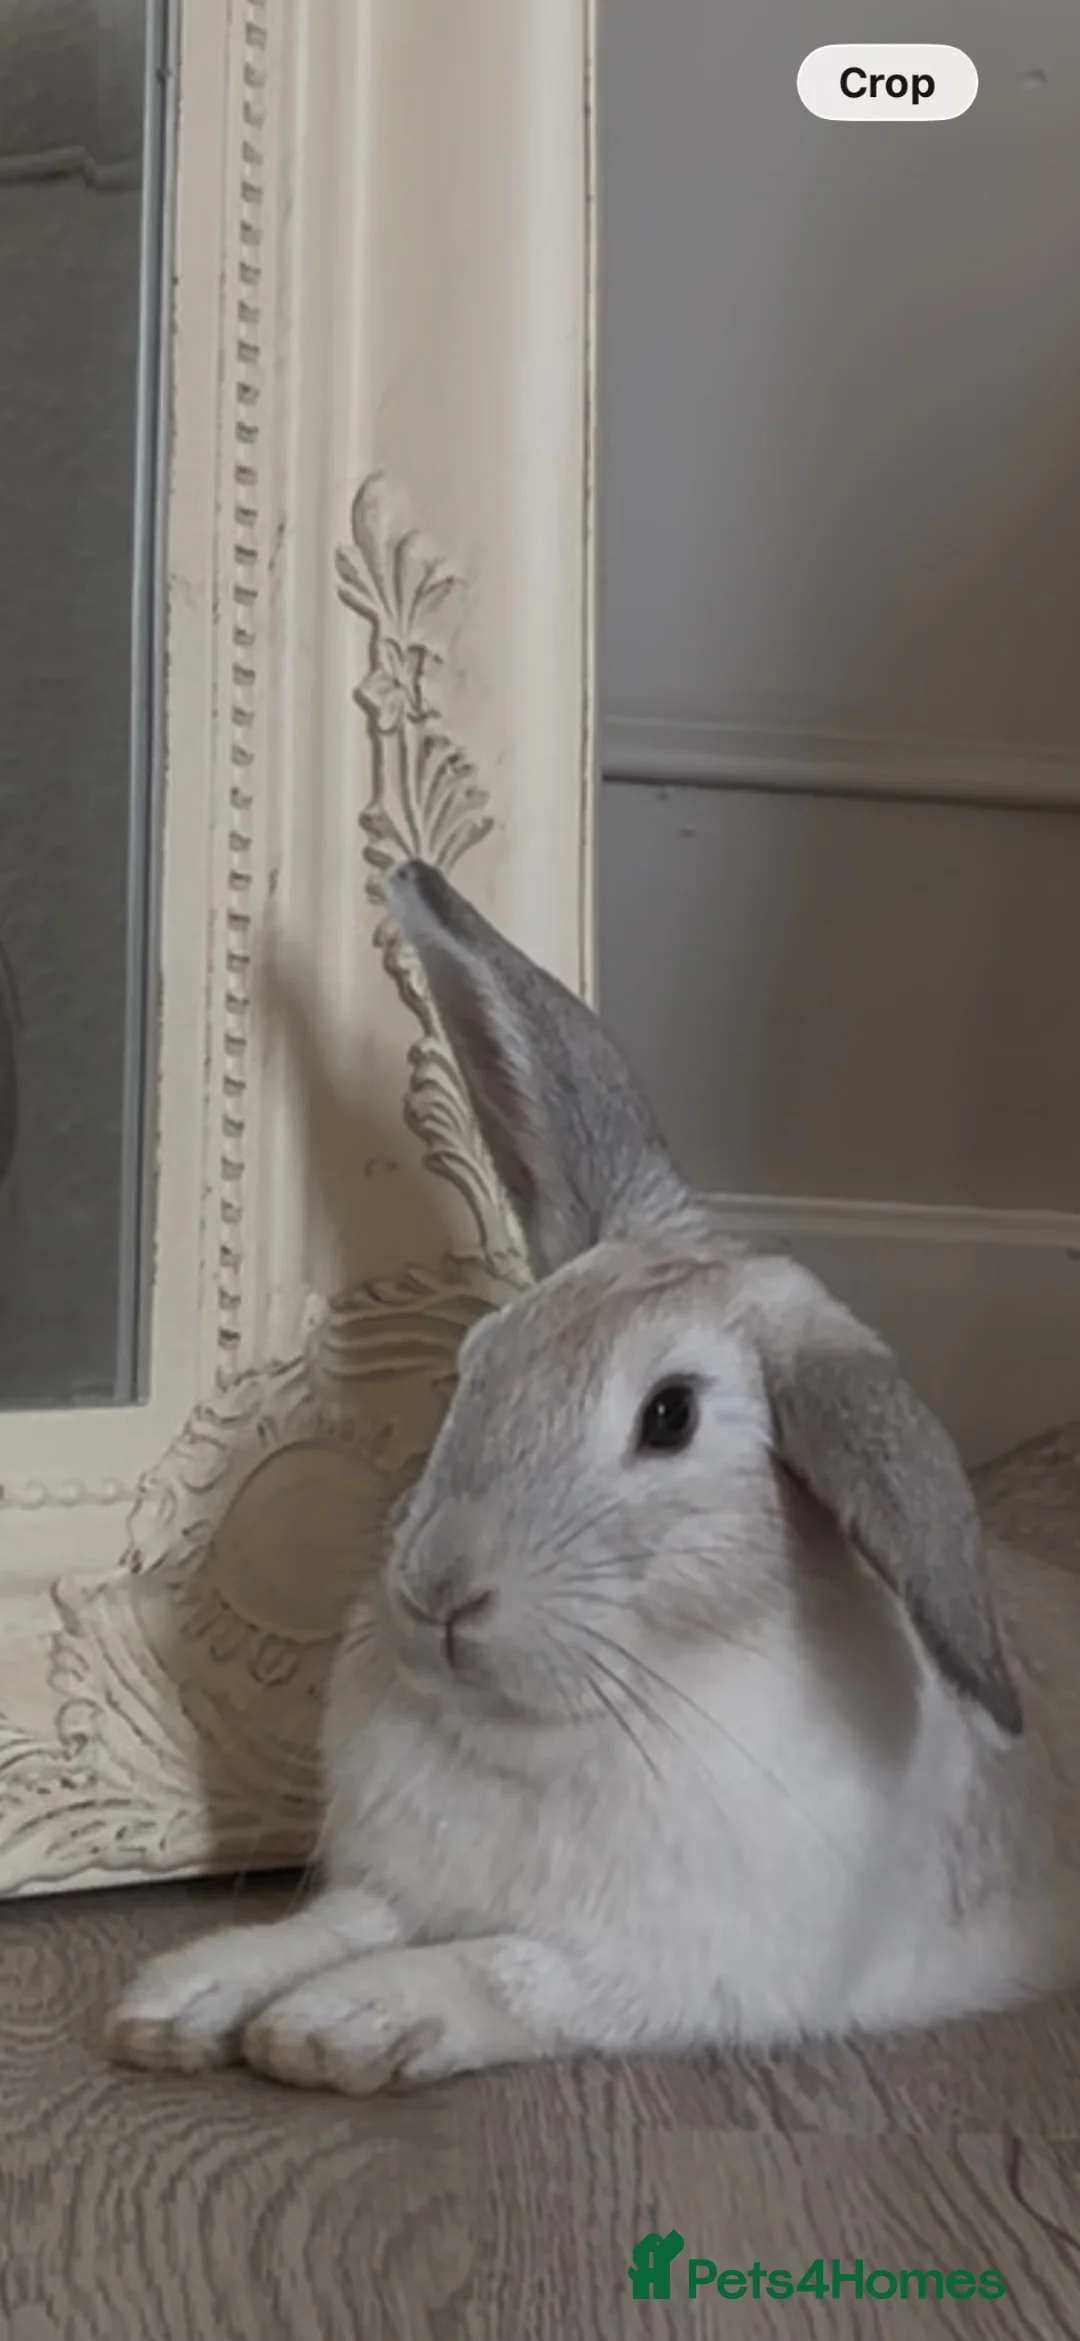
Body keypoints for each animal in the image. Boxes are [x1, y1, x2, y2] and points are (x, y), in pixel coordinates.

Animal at [106, 858, 1080, 2096]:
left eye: (671, 1418)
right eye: (480, 1360)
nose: (439, 1589)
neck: (560, 1722)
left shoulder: (667, 1968)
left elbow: (509, 1967)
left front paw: (344, 2025)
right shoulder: (403, 1886)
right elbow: (339, 1920)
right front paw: (187, 1995)